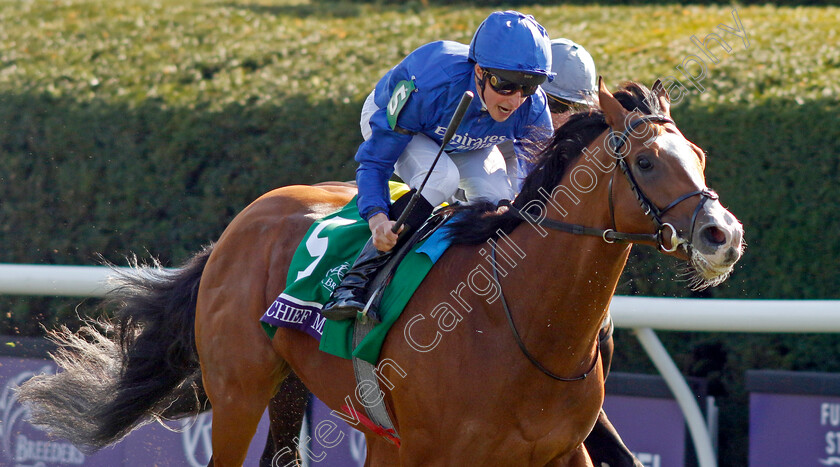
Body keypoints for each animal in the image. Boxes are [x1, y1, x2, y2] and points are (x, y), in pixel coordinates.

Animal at [18, 79, 740, 464]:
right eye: (645, 162)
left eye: (700, 155)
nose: (723, 235)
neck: (522, 322)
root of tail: (236, 226)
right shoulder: (429, 451)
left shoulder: (560, 450)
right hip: (238, 389)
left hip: (296, 389)